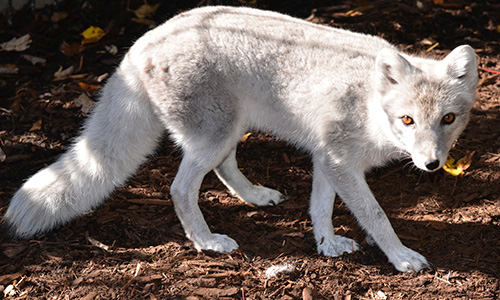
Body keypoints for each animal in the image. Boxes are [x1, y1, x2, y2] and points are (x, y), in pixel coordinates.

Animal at [4, 5, 480, 272]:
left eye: (448, 119)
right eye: (407, 120)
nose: (432, 164)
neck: (368, 106)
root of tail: (145, 40)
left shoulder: (326, 159)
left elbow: (320, 208)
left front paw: (326, 245)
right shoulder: (341, 163)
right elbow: (377, 217)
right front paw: (400, 257)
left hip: (229, 131)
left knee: (224, 168)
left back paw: (254, 197)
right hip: (215, 135)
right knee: (180, 188)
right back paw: (207, 242)